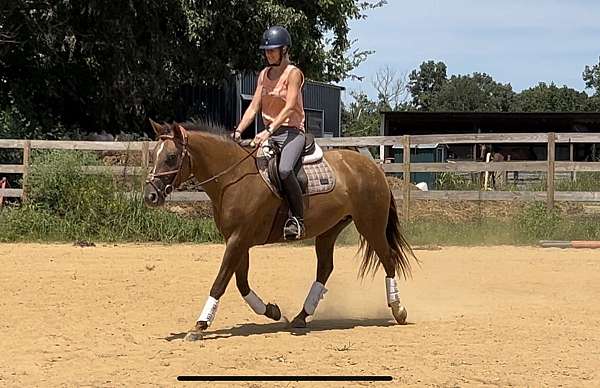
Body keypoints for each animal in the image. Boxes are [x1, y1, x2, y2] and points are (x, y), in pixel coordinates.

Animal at [144, 119, 418, 342]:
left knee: (388, 259)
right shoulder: (238, 241)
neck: (234, 177)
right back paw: (301, 317)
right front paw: (272, 312)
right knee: (325, 269)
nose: (150, 196)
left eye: (171, 157)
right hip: (329, 230)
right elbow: (241, 284)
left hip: (370, 225)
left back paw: (398, 309)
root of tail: (373, 167)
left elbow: (220, 282)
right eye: (154, 154)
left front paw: (199, 326)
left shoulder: (238, 240)